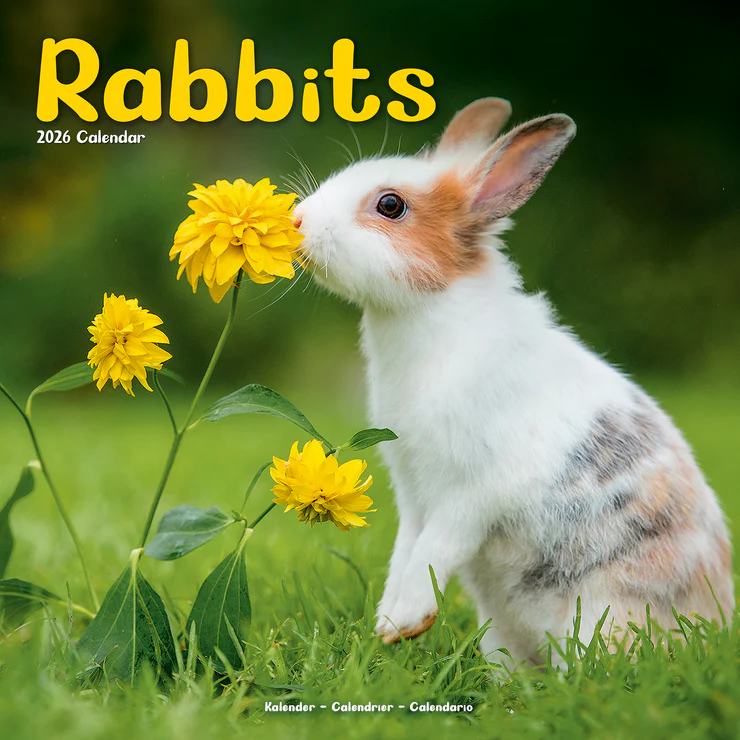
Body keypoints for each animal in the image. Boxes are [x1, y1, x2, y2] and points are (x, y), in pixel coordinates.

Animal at [292, 98, 734, 664]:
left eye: (390, 205)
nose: (297, 221)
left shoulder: (470, 492)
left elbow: (435, 548)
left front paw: (401, 623)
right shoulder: (412, 492)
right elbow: (406, 549)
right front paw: (389, 623)